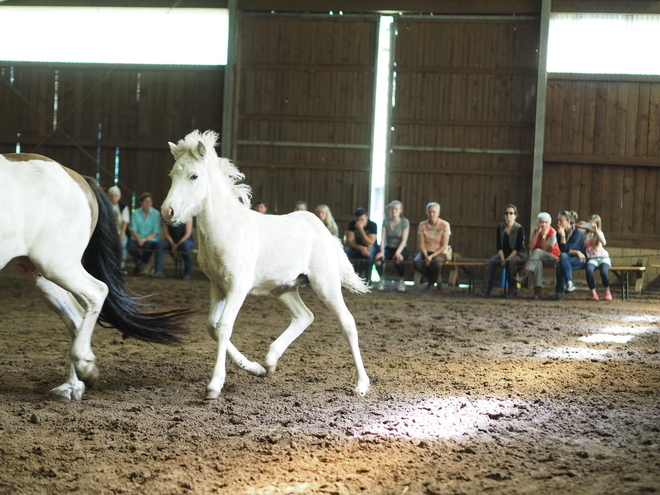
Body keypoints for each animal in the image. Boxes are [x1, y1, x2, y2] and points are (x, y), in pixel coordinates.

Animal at [0, 154, 191, 404]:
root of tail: (77, 177)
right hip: (39, 271)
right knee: (75, 317)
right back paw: (72, 387)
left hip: (57, 264)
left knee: (97, 292)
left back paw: (86, 370)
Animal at [158, 129, 368, 400]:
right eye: (172, 174)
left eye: (194, 175)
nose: (167, 212)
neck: (226, 228)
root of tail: (325, 232)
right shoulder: (218, 285)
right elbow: (211, 326)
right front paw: (254, 368)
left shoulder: (238, 285)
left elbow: (224, 326)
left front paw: (215, 385)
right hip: (283, 288)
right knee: (304, 316)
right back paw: (270, 361)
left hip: (326, 284)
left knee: (347, 323)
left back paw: (361, 384)